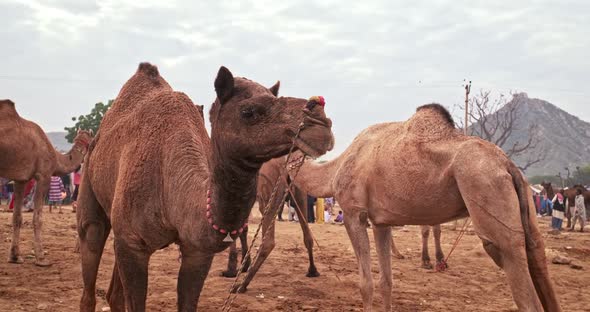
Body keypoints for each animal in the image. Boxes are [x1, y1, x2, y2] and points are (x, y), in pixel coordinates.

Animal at [0, 99, 92, 266]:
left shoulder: (21, 178)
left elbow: (17, 217)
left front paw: (15, 257)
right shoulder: (44, 175)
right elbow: (38, 218)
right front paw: (41, 258)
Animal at [223, 157, 320, 294]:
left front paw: (231, 270)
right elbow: (242, 229)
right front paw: (243, 265)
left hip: (269, 190)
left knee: (268, 241)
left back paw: (241, 285)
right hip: (299, 192)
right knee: (307, 234)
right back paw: (312, 271)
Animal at [292, 103, 564, 310]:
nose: (320, 127)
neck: (334, 170)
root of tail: (507, 164)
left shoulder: (353, 212)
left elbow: (366, 284)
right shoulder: (381, 223)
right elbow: (386, 282)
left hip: (483, 182)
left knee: (508, 256)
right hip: (523, 200)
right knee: (536, 252)